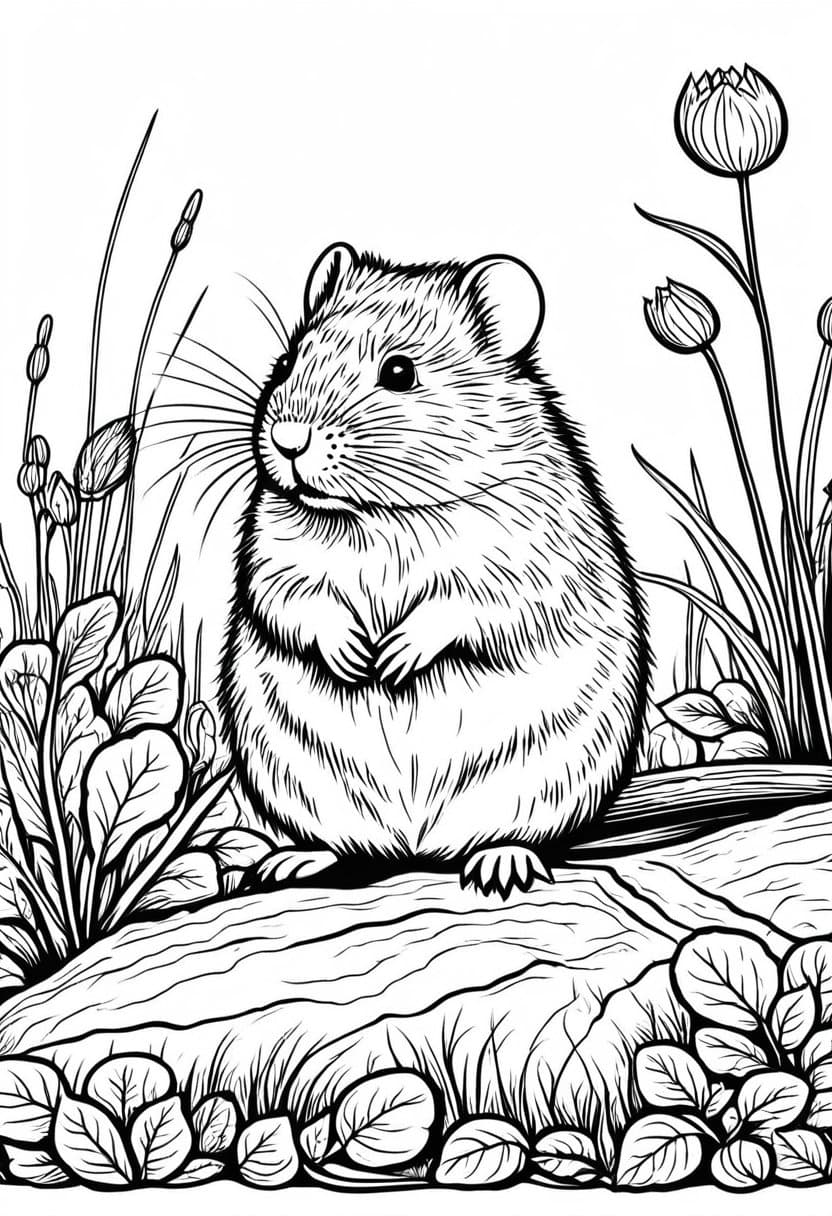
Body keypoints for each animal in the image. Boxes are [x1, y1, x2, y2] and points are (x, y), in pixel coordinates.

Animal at [219, 243, 648, 897]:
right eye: (289, 358)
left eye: (399, 372)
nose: (289, 442)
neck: (378, 514)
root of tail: (418, 847)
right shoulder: (272, 553)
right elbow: (292, 602)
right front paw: (356, 658)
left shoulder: (525, 562)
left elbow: (466, 609)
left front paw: (392, 661)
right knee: (347, 848)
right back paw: (288, 864)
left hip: (544, 785)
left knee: (513, 834)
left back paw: (502, 867)